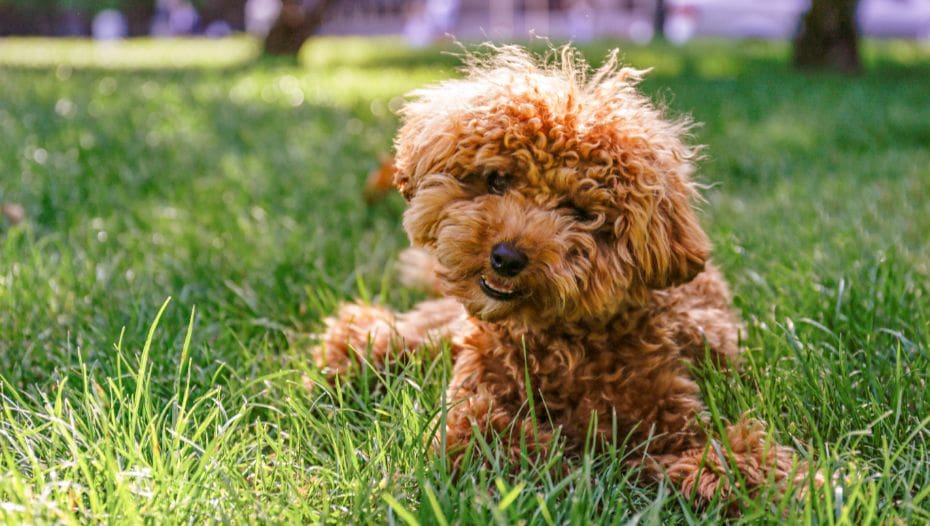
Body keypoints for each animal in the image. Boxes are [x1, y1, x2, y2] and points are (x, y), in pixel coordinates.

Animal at [310, 46, 804, 512]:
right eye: (497, 181)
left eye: (580, 212)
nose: (506, 257)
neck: (559, 344)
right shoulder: (474, 391)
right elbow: (476, 431)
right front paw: (564, 467)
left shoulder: (673, 414)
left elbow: (725, 455)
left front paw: (779, 488)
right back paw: (353, 353)